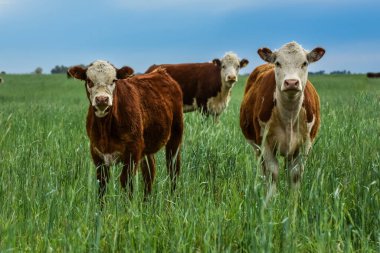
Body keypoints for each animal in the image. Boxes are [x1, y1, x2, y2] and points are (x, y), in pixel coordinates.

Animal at [67, 59, 183, 202]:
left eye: (113, 80)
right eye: (89, 81)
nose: (102, 99)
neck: (105, 128)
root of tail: (161, 72)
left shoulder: (133, 151)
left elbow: (126, 181)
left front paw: (127, 206)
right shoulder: (97, 152)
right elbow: (102, 184)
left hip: (175, 137)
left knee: (173, 169)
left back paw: (172, 199)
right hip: (147, 147)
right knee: (150, 172)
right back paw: (146, 201)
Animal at [240, 42, 324, 202]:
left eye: (305, 63)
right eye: (278, 63)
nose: (291, 82)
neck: (288, 116)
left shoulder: (305, 144)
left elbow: (295, 174)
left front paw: (293, 201)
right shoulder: (264, 143)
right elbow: (272, 173)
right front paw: (270, 201)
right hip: (257, 147)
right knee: (263, 169)